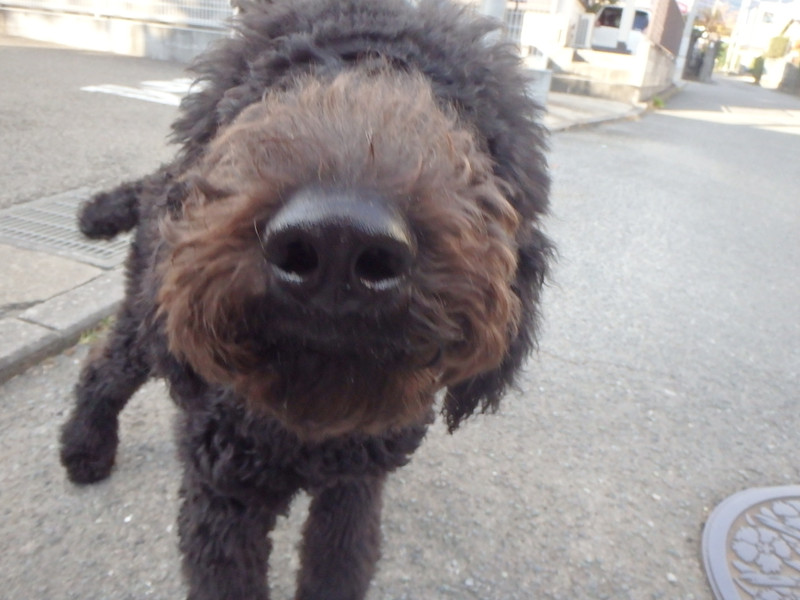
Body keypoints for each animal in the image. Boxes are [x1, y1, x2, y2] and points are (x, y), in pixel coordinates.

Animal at [59, 1, 552, 598]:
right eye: (277, 83)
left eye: (455, 109)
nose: (338, 240)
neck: (307, 422)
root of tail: (155, 178)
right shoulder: (223, 496)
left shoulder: (354, 485)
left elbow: (339, 565)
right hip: (148, 325)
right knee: (102, 368)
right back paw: (85, 451)